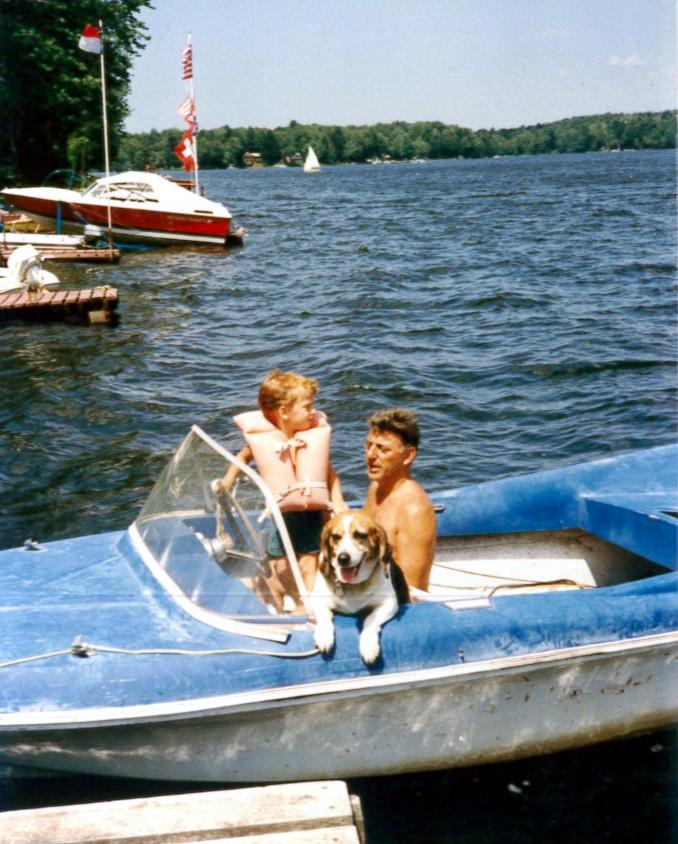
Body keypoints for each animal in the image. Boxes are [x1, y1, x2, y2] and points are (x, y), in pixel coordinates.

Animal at [309, 510, 409, 664]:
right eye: (336, 537)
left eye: (361, 535)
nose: (342, 558)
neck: (353, 585)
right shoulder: (315, 601)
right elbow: (325, 615)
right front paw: (324, 635)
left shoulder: (389, 604)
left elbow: (370, 620)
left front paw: (368, 646)